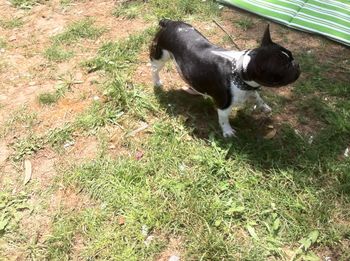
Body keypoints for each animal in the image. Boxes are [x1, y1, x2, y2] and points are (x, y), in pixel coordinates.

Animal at [149, 19, 300, 137]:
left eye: (291, 56)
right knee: (154, 69)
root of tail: (169, 23)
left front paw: (264, 107)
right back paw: (157, 82)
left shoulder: (251, 89)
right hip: (160, 55)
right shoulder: (223, 105)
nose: (296, 64)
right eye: (285, 67)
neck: (239, 71)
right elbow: (224, 119)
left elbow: (257, 97)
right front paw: (227, 132)